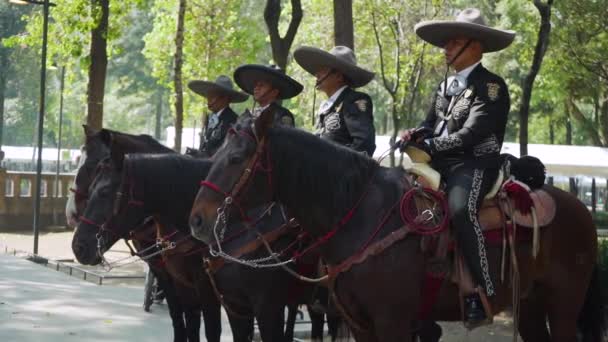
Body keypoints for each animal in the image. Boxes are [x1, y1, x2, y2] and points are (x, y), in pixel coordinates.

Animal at [188, 113, 604, 342]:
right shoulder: (360, 324)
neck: (359, 214)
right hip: (530, 304)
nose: (198, 220)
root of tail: (580, 208)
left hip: (564, 305)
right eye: (216, 153)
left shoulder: (391, 322)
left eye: (236, 158)